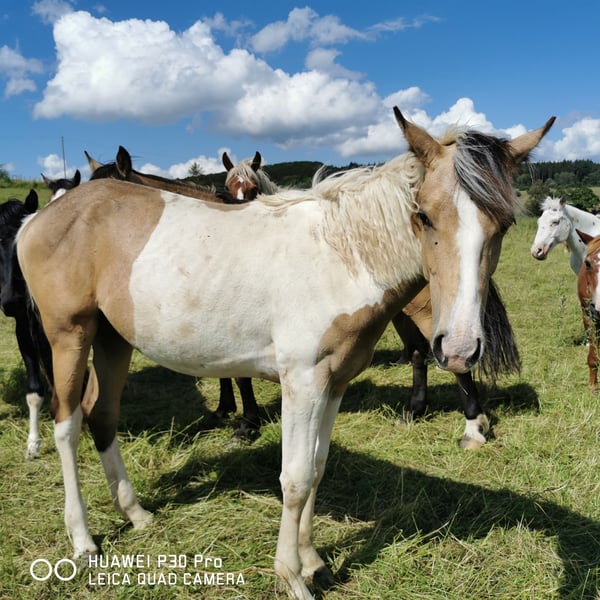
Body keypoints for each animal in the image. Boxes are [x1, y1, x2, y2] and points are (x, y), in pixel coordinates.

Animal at [223, 152, 519, 448]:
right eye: (227, 188)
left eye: (252, 188)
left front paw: (246, 424)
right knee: (418, 353)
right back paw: (414, 410)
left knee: (455, 360)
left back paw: (472, 427)